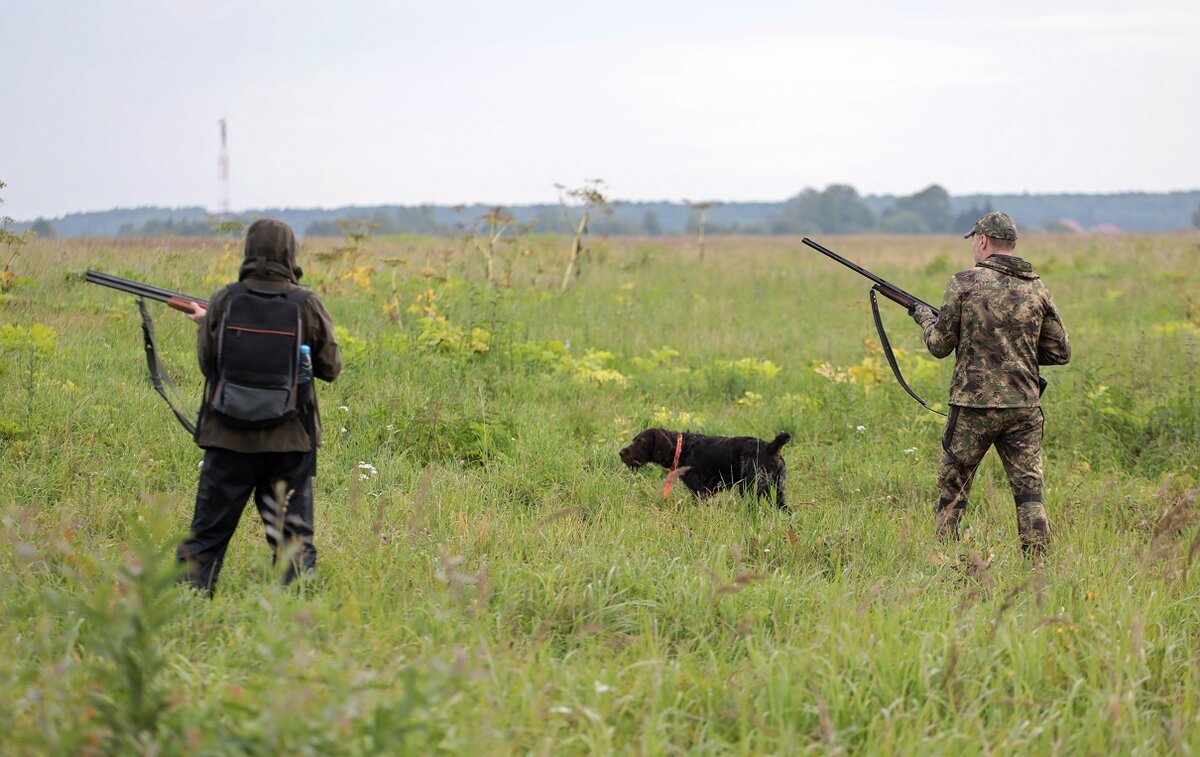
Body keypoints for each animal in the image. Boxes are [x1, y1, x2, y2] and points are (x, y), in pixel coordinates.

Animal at [624, 427, 792, 508]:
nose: (621, 453)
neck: (682, 447)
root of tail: (771, 447)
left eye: (640, 441)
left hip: (750, 490)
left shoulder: (700, 491)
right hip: (777, 493)